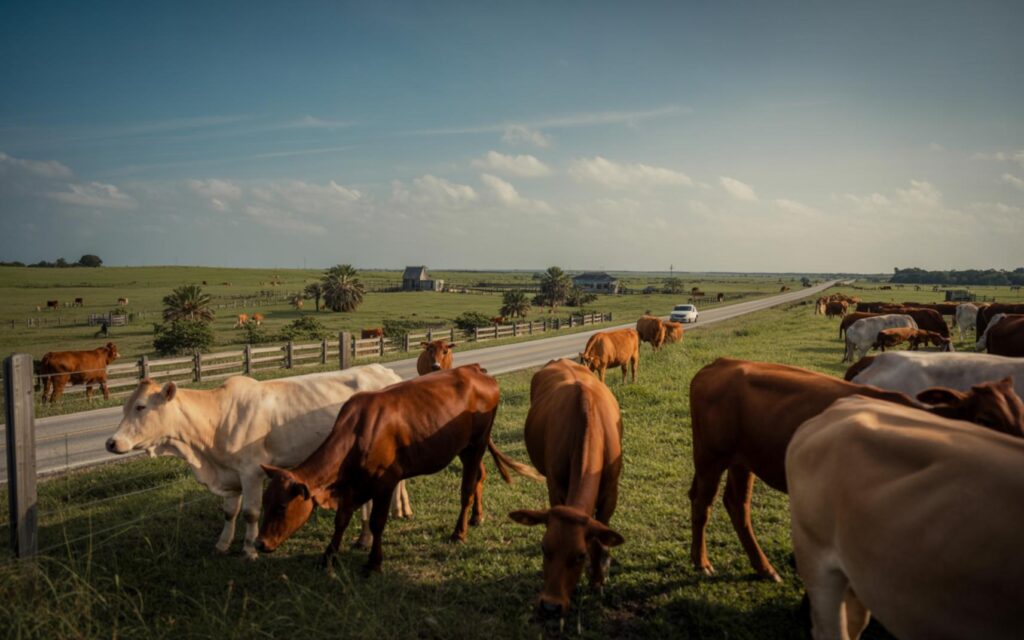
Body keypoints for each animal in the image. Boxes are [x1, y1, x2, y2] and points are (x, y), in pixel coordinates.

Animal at [105, 365, 405, 559]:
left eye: (141, 407)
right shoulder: (230, 474)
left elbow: (250, 512)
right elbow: (230, 512)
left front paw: (249, 549)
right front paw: (222, 544)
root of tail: (385, 371)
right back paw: (380, 524)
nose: (111, 443)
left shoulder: (251, 472)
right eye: (124, 407)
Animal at [254, 365, 541, 573]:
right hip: (463, 447)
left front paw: (374, 562)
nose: (260, 543)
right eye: (265, 502)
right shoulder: (352, 485)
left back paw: (459, 532)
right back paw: (475, 518)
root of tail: (475, 370)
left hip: (476, 444)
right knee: (479, 477)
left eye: (281, 507)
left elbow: (377, 522)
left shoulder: (384, 482)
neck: (358, 431)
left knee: (467, 488)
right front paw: (327, 556)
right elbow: (341, 520)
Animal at [509, 359, 625, 618]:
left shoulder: (610, 493)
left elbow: (600, 538)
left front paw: (598, 579)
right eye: (544, 548)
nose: (551, 606)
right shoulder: (555, 486)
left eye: (579, 555)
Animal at [686, 358, 1024, 582]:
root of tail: (720, 364)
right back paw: (701, 562)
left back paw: (764, 568)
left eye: (1020, 415)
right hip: (711, 456)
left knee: (736, 504)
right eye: (985, 420)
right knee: (703, 503)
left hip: (742, 460)